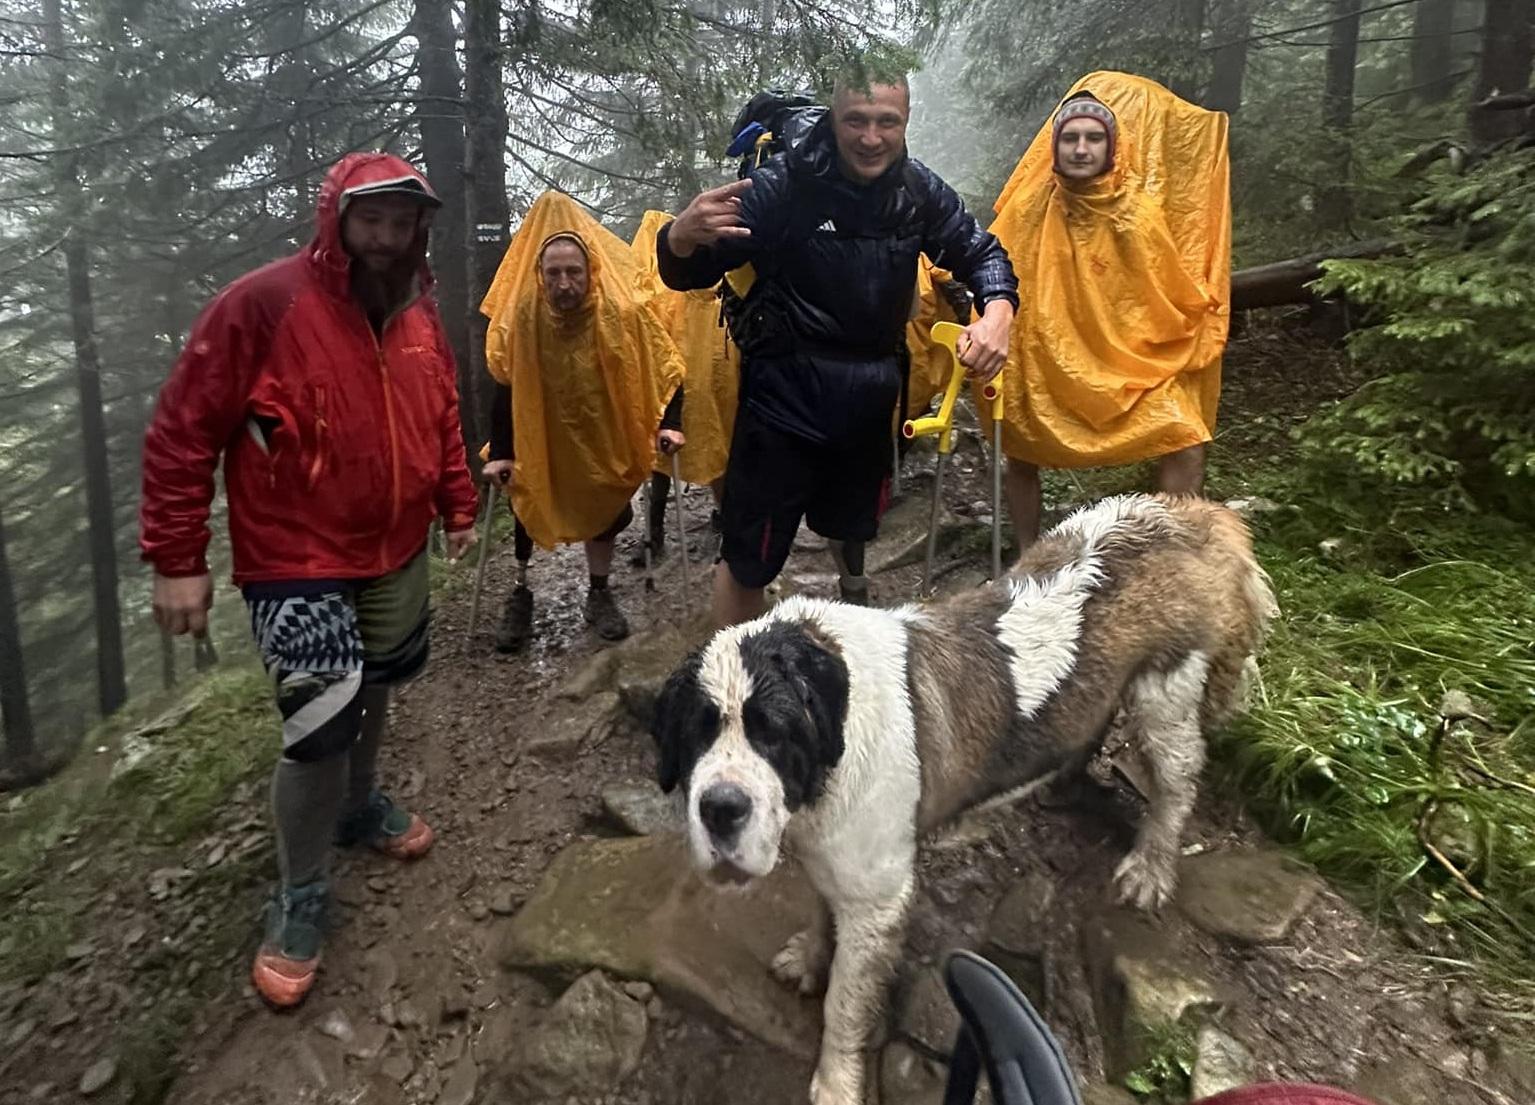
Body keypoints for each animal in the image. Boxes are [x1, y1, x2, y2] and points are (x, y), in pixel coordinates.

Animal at [653, 494, 1277, 1105]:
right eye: (695, 735)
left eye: (775, 733)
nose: (721, 808)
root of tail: (1195, 513)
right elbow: (820, 907)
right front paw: (809, 957)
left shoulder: (876, 897)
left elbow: (845, 1004)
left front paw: (835, 1082)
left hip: (1166, 694)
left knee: (1176, 781)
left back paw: (1150, 865)